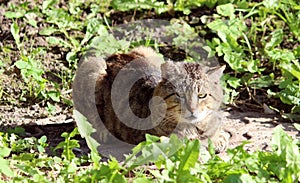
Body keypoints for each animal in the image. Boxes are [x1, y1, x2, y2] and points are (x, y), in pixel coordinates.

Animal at [73, 46, 230, 153]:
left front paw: (219, 137)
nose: (192, 109)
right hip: (91, 68)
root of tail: (114, 56)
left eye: (202, 95)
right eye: (180, 95)